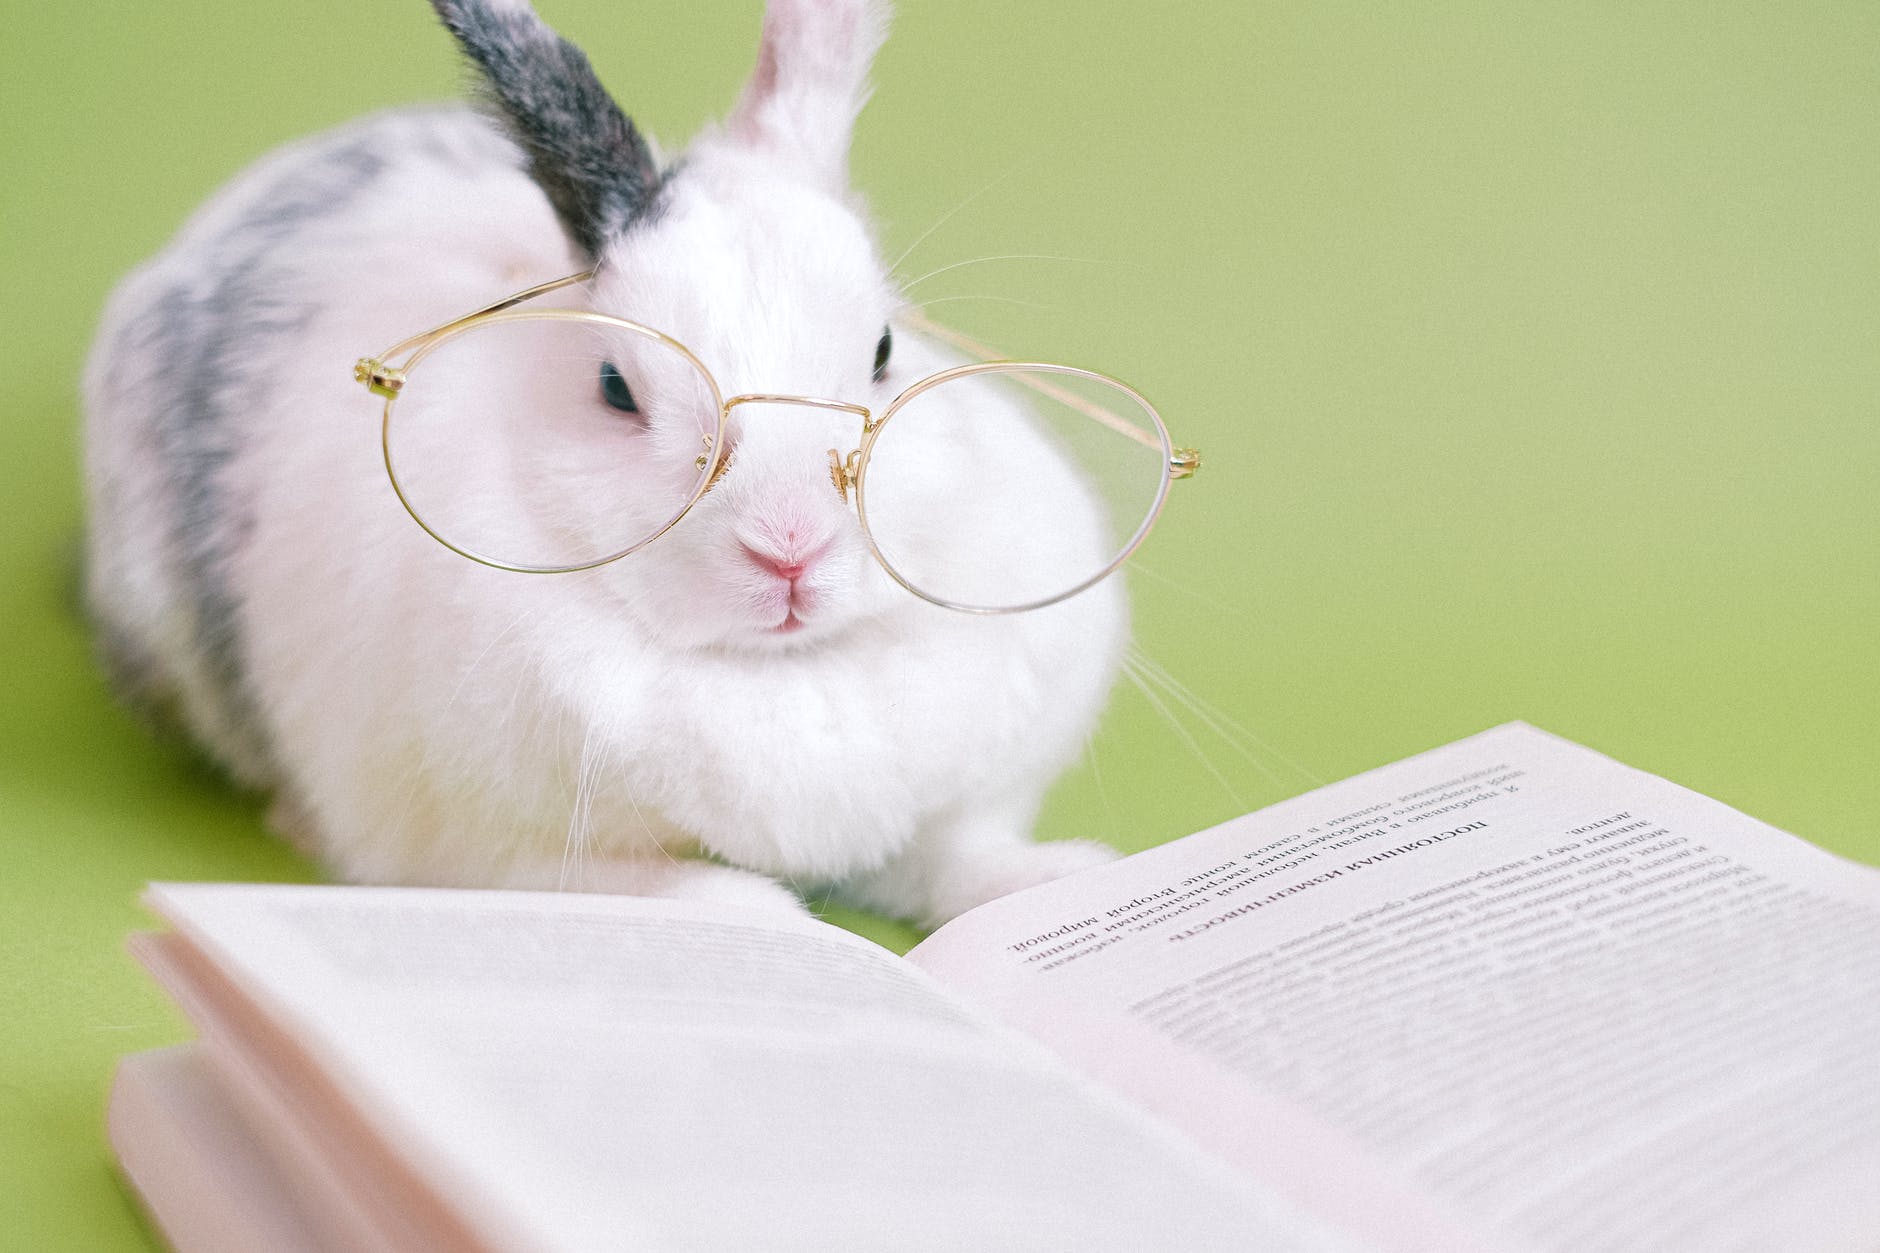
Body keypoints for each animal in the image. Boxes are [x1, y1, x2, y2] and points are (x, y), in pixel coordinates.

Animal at [84, 0, 1128, 921]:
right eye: (616, 388)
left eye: (883, 351)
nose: (790, 548)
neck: (775, 671)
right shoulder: (481, 851)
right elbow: (654, 890)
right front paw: (765, 915)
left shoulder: (950, 812)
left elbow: (958, 861)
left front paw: (1064, 877)